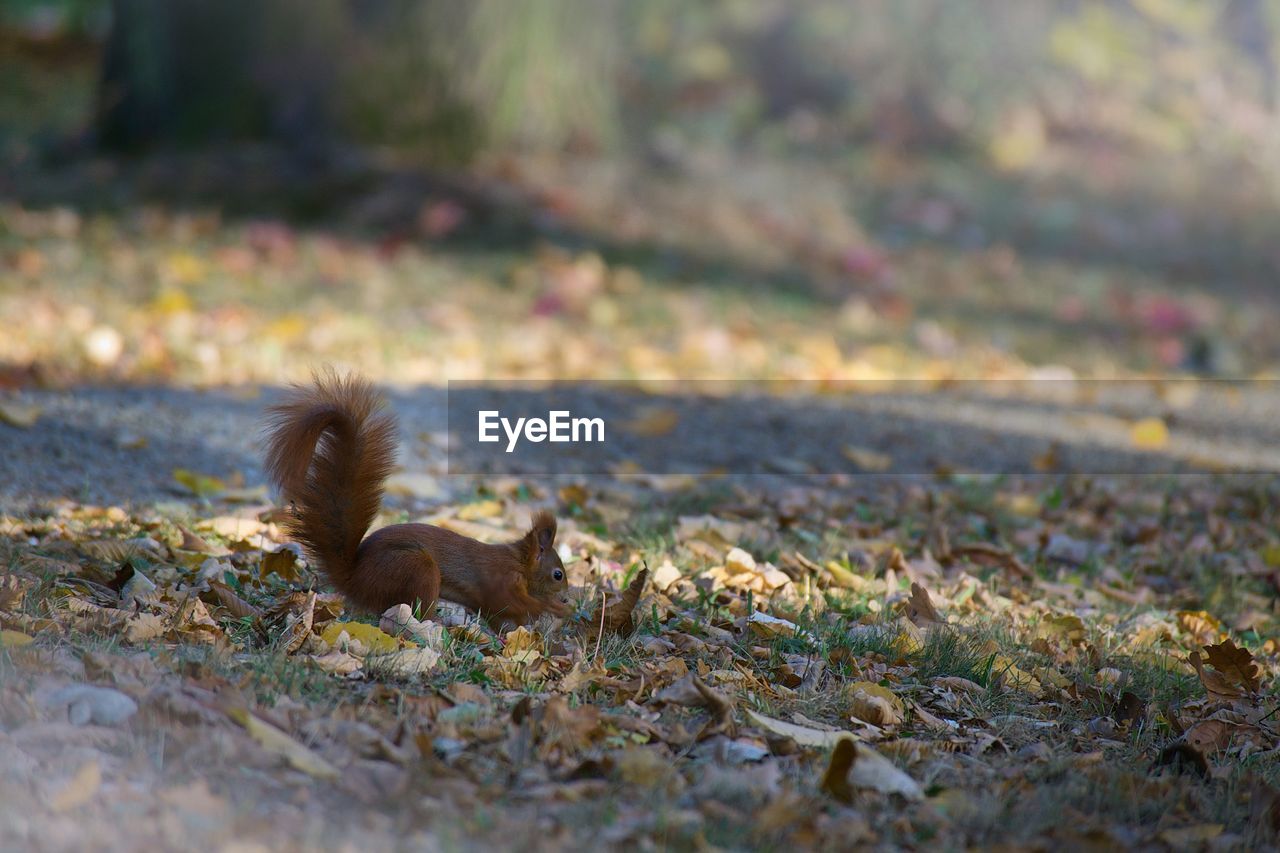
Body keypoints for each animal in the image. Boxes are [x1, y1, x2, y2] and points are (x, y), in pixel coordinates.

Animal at [259, 371, 570, 625]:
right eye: (558, 574)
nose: (567, 596)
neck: (520, 563)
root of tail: (355, 580)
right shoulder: (502, 581)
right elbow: (508, 602)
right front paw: (553, 608)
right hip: (416, 568)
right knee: (419, 611)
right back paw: (439, 623)